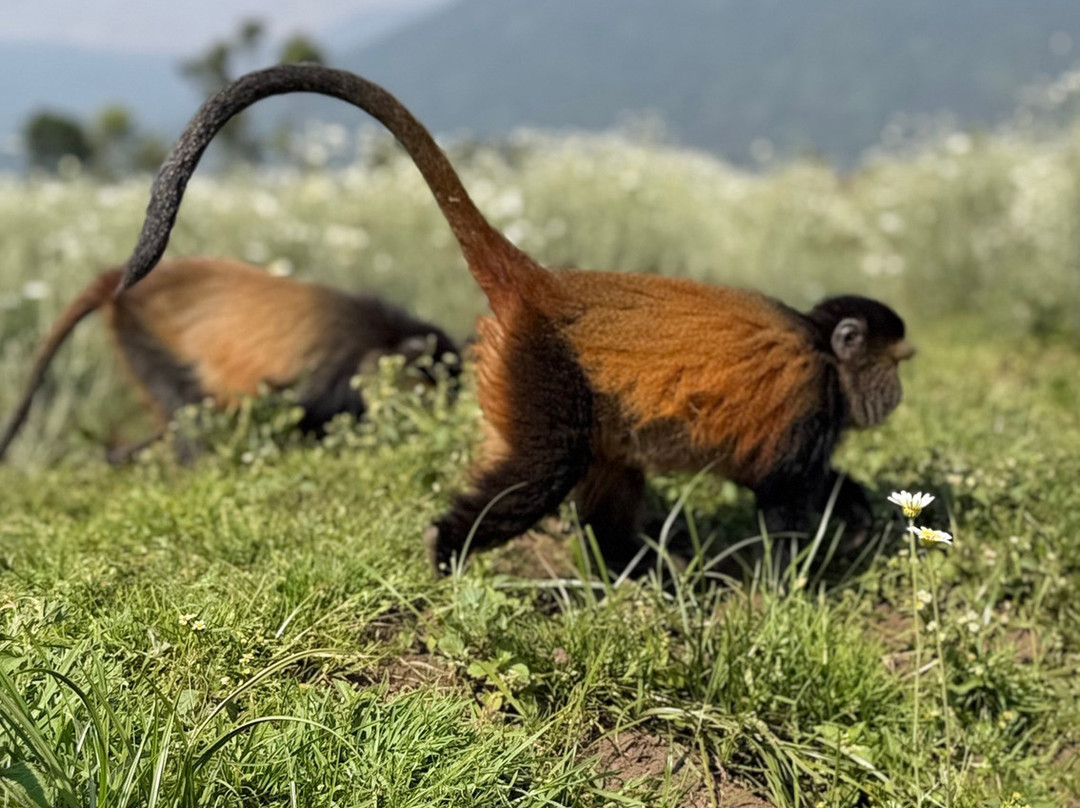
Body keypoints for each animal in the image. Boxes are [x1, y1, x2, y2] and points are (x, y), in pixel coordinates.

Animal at [0, 256, 460, 464]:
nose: (446, 409)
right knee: (190, 410)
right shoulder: (335, 376)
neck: (381, 337)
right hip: (143, 337)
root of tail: (123, 283)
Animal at [116, 65, 915, 575]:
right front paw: (795, 585)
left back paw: (631, 572)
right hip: (539, 362)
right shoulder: (809, 402)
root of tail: (547, 286)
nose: (900, 395)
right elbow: (782, 500)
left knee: (605, 465)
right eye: (897, 364)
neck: (822, 347)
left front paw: (859, 515)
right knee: (545, 468)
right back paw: (447, 553)